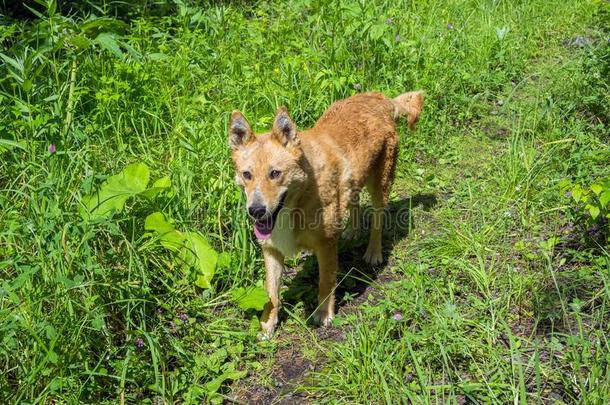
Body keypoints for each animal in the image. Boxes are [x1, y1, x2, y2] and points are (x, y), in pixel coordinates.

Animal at [228, 90, 422, 336]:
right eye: (247, 175)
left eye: (275, 173)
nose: (256, 211)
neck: (299, 200)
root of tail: (380, 98)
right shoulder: (271, 250)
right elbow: (271, 294)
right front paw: (267, 326)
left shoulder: (326, 245)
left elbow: (325, 282)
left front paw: (323, 314)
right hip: (353, 181)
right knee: (354, 203)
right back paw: (352, 231)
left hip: (380, 184)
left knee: (378, 219)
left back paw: (373, 252)